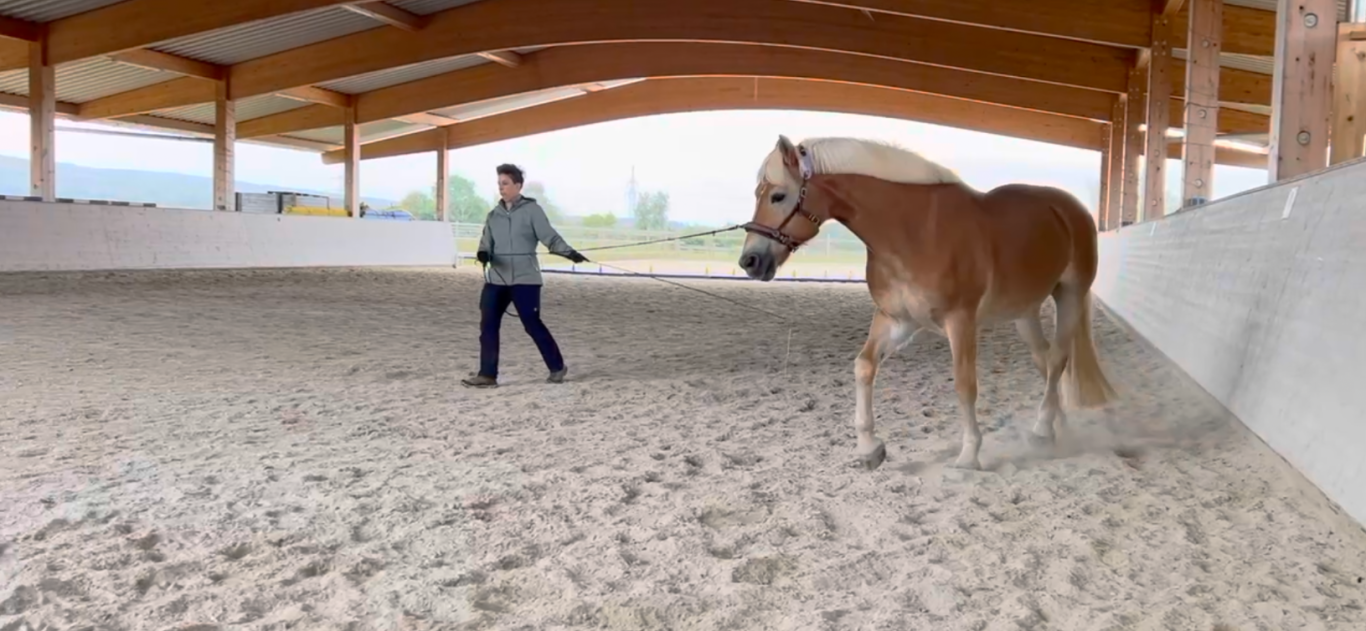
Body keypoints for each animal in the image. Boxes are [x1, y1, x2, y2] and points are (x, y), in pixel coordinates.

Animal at [738, 135, 1116, 471]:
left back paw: (1041, 431)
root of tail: (1071, 209)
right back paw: (1055, 428)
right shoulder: (896, 319)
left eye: (778, 196)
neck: (914, 231)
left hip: (1070, 295)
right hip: (1024, 312)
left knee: (1057, 360)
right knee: (1046, 362)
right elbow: (864, 366)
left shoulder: (960, 321)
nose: (750, 261)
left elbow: (965, 384)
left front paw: (969, 455)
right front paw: (869, 449)